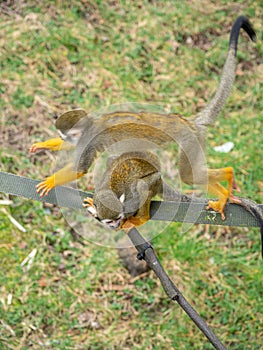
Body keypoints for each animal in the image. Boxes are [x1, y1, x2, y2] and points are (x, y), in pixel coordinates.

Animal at [29, 17, 256, 227]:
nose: (63, 139)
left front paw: (50, 181)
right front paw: (44, 144)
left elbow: (80, 169)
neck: (90, 126)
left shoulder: (90, 141)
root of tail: (188, 122)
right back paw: (224, 191)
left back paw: (228, 177)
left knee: (189, 176)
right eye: (62, 136)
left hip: (189, 140)